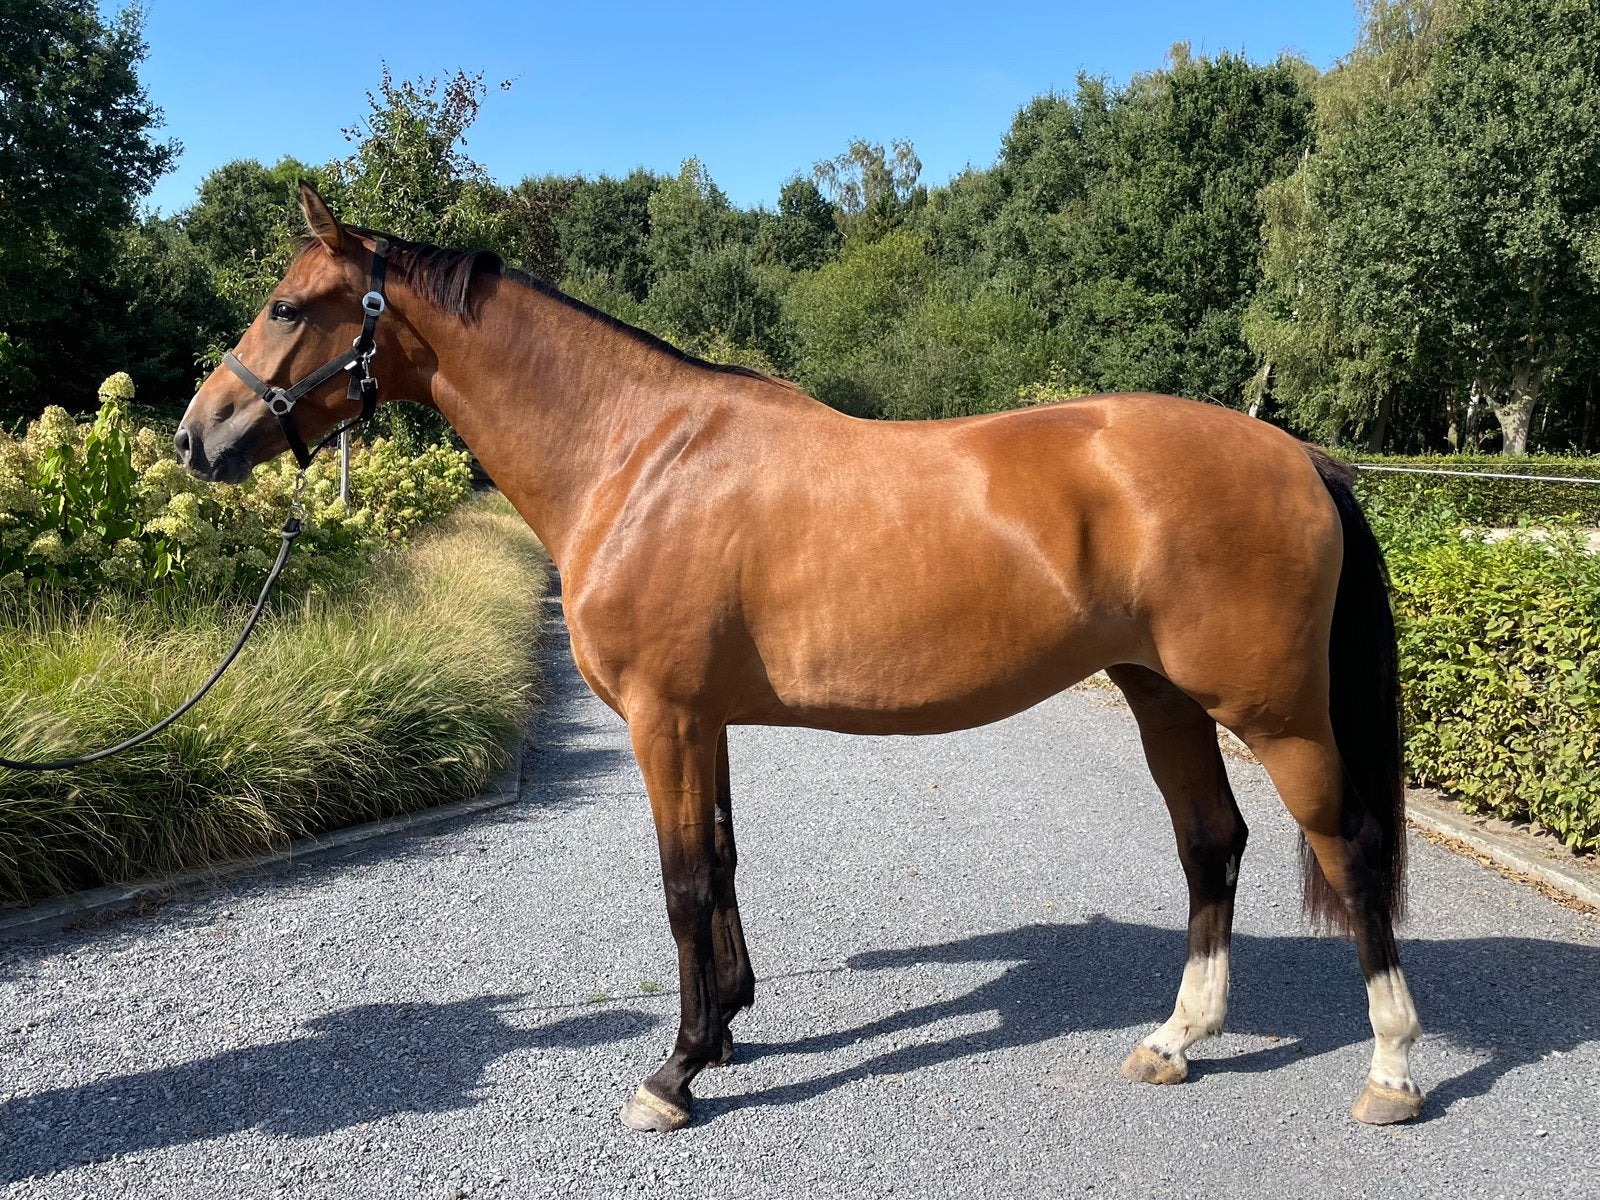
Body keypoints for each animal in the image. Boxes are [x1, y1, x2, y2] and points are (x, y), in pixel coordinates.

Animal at [176, 183, 1424, 1133]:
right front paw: (726, 1029)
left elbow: (683, 884)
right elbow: (722, 868)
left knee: (1351, 848)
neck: (636, 454)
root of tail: (1299, 456)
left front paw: (673, 1074)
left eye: (287, 304)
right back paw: (1175, 1039)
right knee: (1211, 845)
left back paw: (1391, 1069)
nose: (196, 438)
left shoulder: (665, 717)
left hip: (1275, 713)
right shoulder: (704, 719)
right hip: (1164, 696)